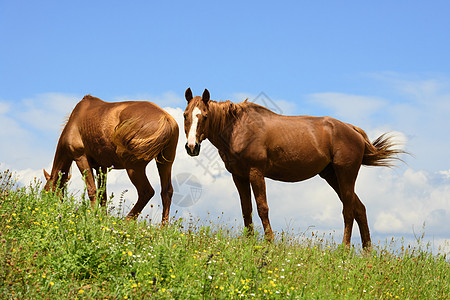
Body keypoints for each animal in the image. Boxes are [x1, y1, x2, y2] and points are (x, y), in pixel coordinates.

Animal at [43, 95, 178, 221]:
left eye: (46, 192)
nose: (46, 210)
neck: (74, 122)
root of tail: (166, 119)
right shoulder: (101, 167)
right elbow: (103, 194)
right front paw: (103, 218)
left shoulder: (81, 158)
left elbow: (92, 190)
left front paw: (94, 217)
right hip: (165, 163)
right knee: (166, 192)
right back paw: (163, 227)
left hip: (133, 167)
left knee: (146, 192)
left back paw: (125, 222)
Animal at [183, 88, 404, 247]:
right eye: (185, 115)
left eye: (204, 116)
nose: (192, 147)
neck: (238, 129)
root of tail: (352, 129)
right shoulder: (239, 176)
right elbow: (246, 209)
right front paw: (248, 242)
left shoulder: (256, 173)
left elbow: (262, 208)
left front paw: (269, 242)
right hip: (332, 176)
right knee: (360, 209)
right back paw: (367, 252)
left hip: (346, 175)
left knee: (348, 211)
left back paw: (345, 249)